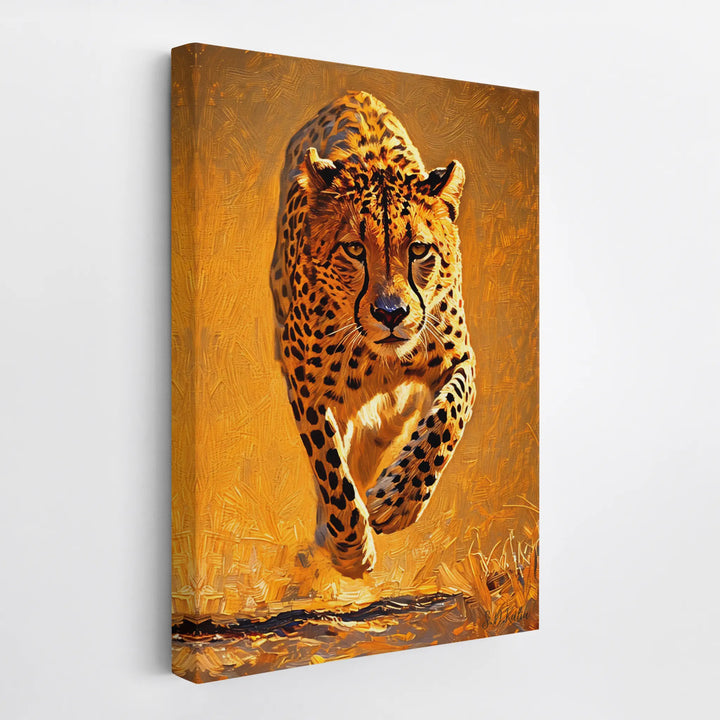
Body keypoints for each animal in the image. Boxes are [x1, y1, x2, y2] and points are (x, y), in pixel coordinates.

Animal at [270, 91, 476, 578]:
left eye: (418, 249)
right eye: (353, 249)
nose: (391, 313)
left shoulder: (459, 358)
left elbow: (448, 418)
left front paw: (397, 501)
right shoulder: (304, 384)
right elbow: (329, 467)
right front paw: (349, 547)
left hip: (394, 413)